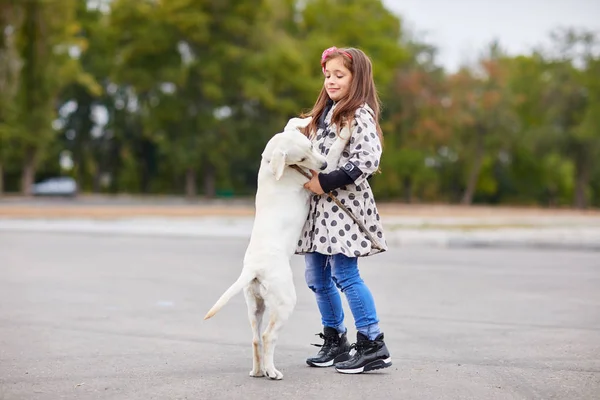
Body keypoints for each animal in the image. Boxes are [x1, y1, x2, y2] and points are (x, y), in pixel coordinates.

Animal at [204, 116, 352, 382]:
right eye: (301, 159)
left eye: (311, 147)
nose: (323, 165)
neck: (272, 165)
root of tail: (253, 269)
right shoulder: (316, 179)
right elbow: (335, 150)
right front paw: (345, 130)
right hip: (284, 302)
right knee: (267, 336)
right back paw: (272, 371)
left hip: (254, 306)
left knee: (255, 338)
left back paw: (258, 371)